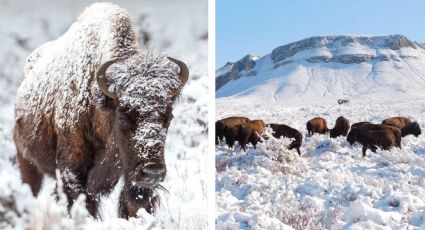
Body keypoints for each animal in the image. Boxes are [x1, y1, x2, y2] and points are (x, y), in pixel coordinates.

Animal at [13, 3, 189, 219]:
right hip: (26, 160)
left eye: (169, 116)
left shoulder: (131, 179)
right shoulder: (73, 172)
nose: (152, 172)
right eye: (123, 115)